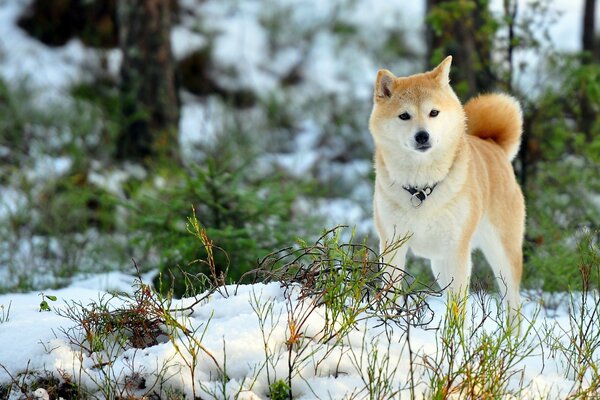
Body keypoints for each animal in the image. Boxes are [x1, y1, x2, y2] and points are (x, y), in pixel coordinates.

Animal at [370, 56, 524, 318]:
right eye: (404, 116)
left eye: (433, 112)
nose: (422, 136)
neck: (421, 188)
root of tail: (493, 145)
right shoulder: (392, 244)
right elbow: (391, 292)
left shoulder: (456, 251)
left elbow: (458, 311)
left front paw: (455, 331)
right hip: (439, 264)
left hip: (502, 256)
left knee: (513, 304)